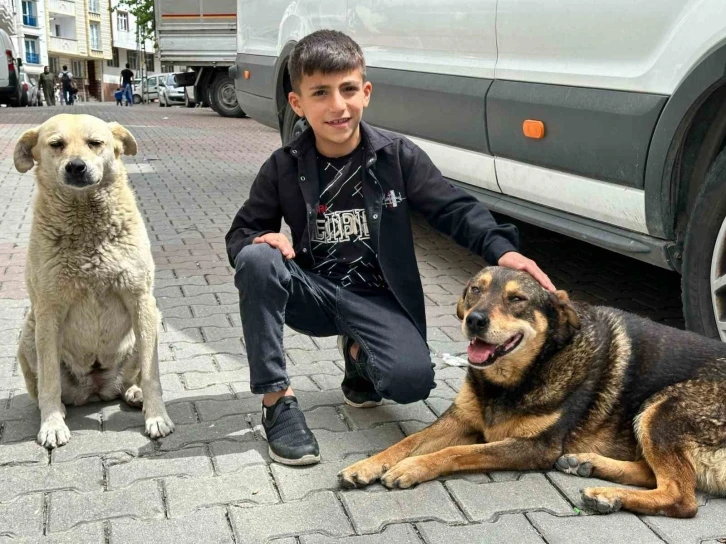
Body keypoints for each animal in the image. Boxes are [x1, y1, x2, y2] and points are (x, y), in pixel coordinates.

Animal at [13, 113, 175, 446]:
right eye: (56, 144)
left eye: (95, 143)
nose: (76, 166)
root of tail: (96, 389)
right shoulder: (49, 309)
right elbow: (49, 379)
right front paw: (51, 424)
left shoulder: (140, 298)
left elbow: (152, 374)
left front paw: (156, 416)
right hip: (30, 335)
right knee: (45, 388)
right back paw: (56, 410)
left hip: (149, 322)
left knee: (134, 377)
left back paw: (135, 392)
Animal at [340, 268, 726, 520]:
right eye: (475, 290)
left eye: (516, 299)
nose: (475, 320)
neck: (516, 378)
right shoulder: (460, 418)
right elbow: (406, 442)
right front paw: (366, 465)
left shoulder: (534, 447)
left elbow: (456, 452)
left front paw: (413, 467)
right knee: (656, 475)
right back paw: (589, 465)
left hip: (661, 409)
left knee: (681, 497)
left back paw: (607, 494)